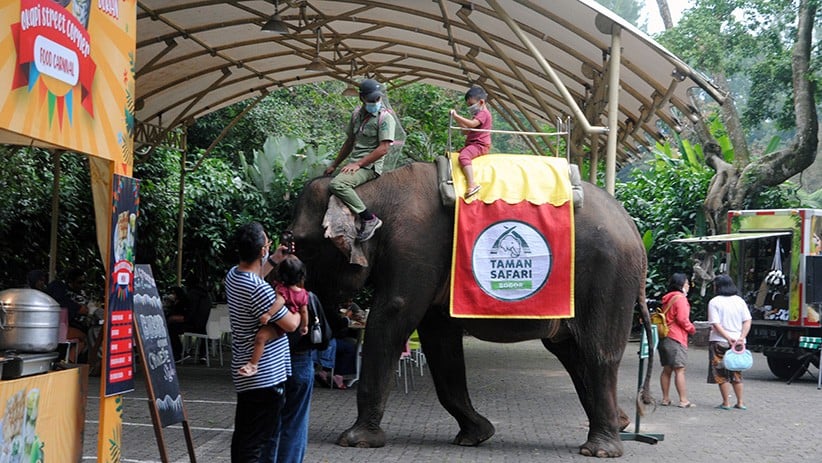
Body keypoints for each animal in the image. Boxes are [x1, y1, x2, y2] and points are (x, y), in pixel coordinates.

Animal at [286, 161, 652, 458]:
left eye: (300, 244)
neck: (373, 189)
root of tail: (631, 225)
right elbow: (440, 341)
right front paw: (476, 436)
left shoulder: (413, 250)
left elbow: (393, 316)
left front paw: (355, 441)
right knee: (571, 353)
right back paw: (619, 424)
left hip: (607, 275)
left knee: (597, 353)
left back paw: (601, 449)